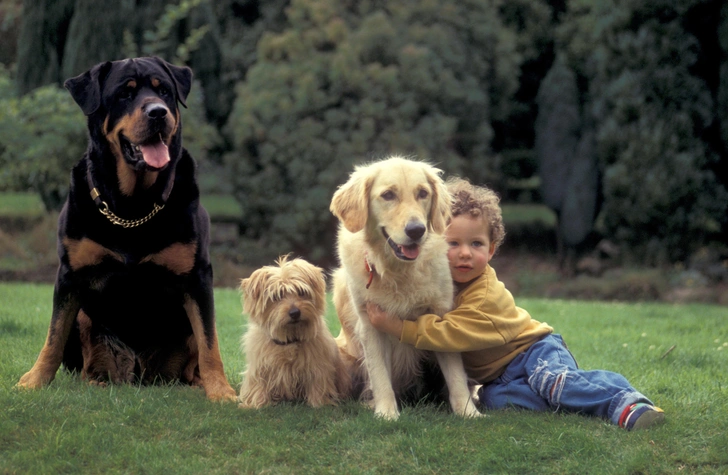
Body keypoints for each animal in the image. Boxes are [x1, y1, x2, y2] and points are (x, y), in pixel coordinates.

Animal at [15, 57, 236, 404]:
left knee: (194, 356)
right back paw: (95, 381)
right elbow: (53, 335)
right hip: (86, 325)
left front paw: (221, 390)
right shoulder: (69, 275)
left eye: (165, 91)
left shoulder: (198, 277)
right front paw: (34, 381)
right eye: (125, 94)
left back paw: (196, 383)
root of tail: (139, 374)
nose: (158, 112)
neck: (132, 207)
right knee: (84, 362)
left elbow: (209, 342)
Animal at [239, 256, 350, 410]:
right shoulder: (260, 367)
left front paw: (319, 404)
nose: (295, 313)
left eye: (301, 292)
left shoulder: (317, 367)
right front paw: (258, 404)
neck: (290, 338)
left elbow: (317, 384)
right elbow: (258, 384)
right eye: (277, 296)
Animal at [332, 156, 480, 420]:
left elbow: (455, 375)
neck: (398, 270)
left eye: (422, 193)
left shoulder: (440, 315)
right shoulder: (369, 324)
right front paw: (386, 413)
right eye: (388, 195)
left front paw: (468, 412)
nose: (416, 230)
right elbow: (380, 375)